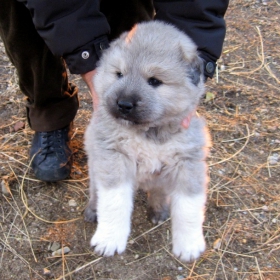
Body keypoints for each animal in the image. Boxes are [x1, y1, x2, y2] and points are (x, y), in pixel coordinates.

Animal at [84, 20, 211, 262]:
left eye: (154, 81)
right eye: (119, 74)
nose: (124, 104)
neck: (149, 132)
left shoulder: (187, 163)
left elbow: (188, 208)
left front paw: (189, 244)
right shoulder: (114, 157)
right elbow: (113, 202)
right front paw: (109, 239)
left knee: (160, 191)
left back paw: (158, 209)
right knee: (96, 191)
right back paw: (92, 211)